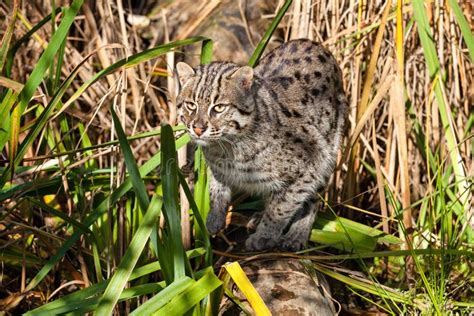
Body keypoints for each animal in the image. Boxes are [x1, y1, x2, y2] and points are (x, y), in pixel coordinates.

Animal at [176, 39, 346, 252]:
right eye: (191, 105)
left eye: (219, 108)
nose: (198, 128)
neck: (228, 147)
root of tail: (317, 44)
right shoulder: (218, 168)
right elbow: (217, 189)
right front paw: (215, 216)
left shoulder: (311, 163)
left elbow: (282, 207)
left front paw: (265, 235)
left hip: (329, 149)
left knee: (312, 199)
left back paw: (295, 235)